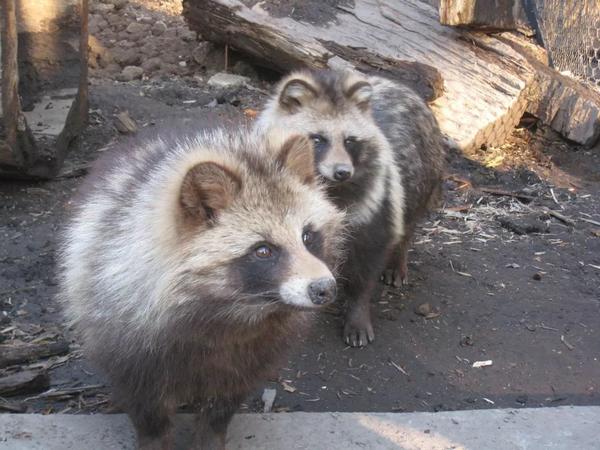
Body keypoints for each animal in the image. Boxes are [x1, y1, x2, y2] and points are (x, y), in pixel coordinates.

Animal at [60, 127, 344, 450]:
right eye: (263, 251)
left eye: (308, 236)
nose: (325, 288)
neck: (228, 312)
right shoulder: (128, 343)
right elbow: (148, 410)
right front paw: (154, 437)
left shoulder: (248, 355)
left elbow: (220, 409)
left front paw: (210, 435)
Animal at [254, 68, 446, 348]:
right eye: (318, 139)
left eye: (350, 141)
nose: (342, 172)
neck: (326, 186)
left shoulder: (375, 204)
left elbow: (366, 263)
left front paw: (357, 311)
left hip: (425, 174)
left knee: (407, 222)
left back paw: (398, 258)